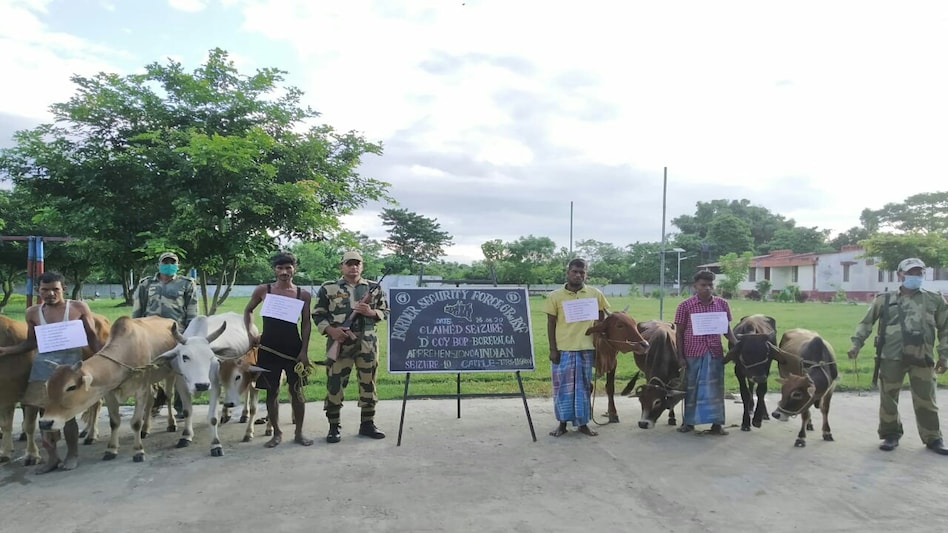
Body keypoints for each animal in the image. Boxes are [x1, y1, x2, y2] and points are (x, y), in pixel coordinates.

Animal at [39, 316, 180, 462]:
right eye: (47, 385)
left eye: (71, 387)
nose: (45, 423)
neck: (126, 352)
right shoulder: (109, 393)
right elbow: (114, 422)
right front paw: (111, 449)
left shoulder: (140, 390)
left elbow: (135, 423)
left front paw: (138, 451)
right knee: (151, 399)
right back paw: (146, 429)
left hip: (170, 375)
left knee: (169, 397)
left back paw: (171, 424)